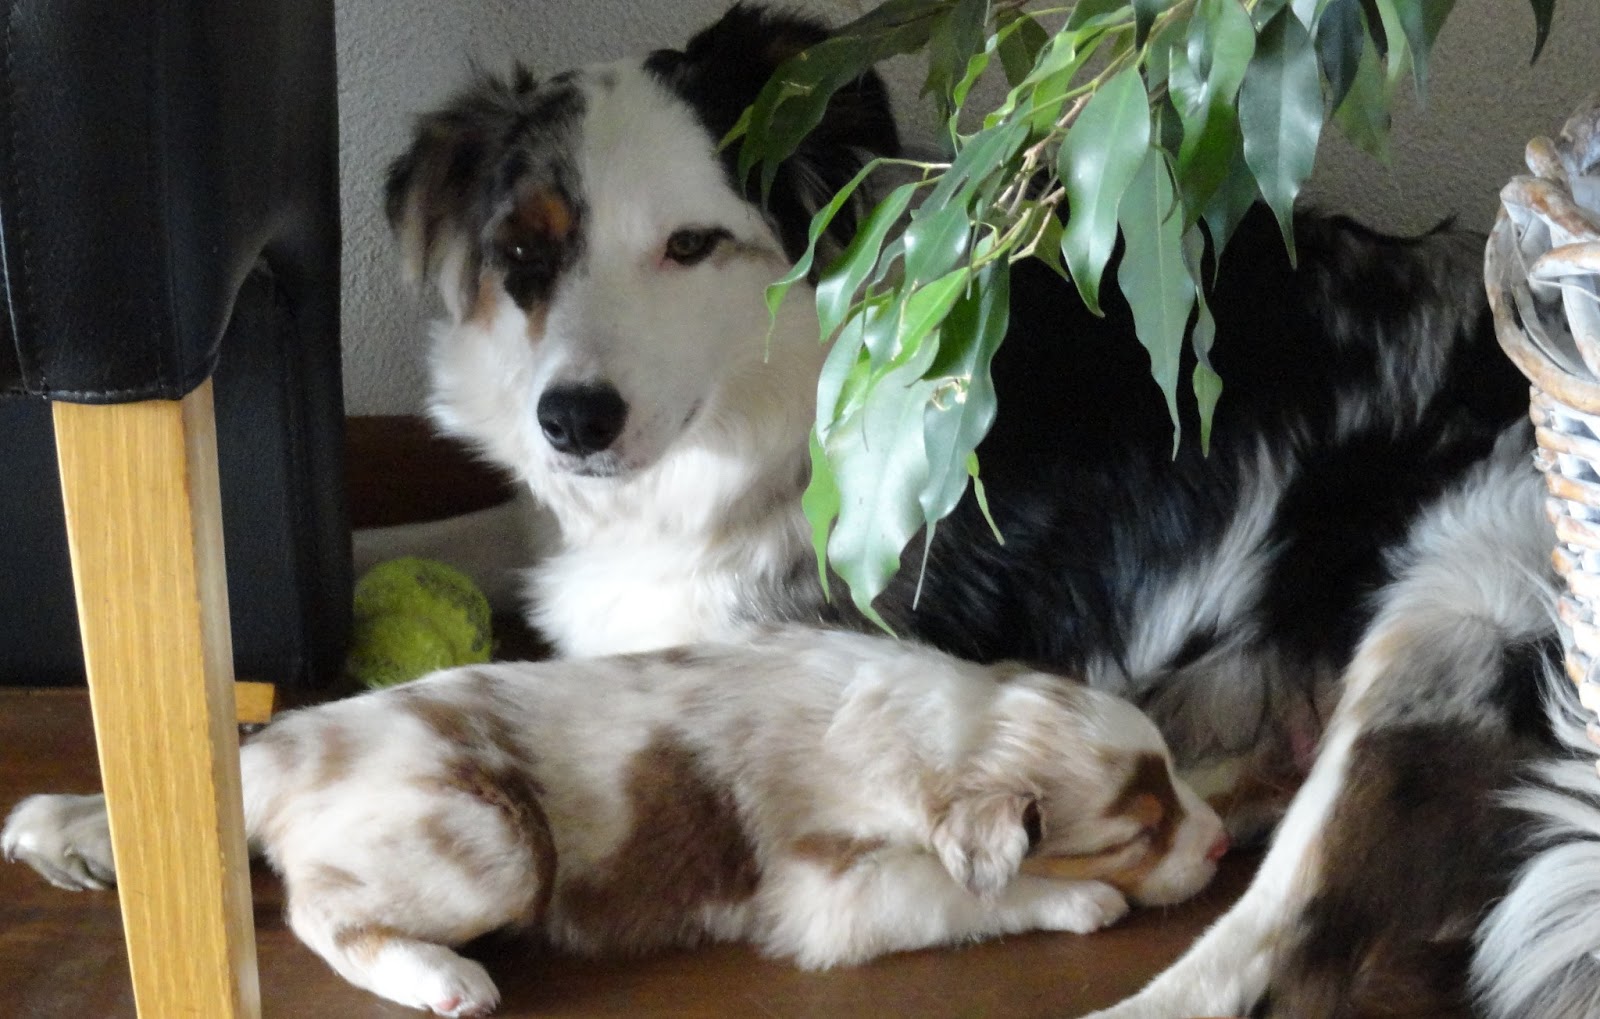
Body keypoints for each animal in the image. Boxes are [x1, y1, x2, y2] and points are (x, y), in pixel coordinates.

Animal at [3, 627, 1227, 1016]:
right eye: (1138, 824)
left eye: (1176, 772)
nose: (1221, 843)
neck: (949, 718)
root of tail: (286, 744)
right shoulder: (832, 890)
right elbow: (968, 888)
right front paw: (1081, 895)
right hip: (493, 845)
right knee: (316, 907)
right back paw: (442, 977)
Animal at [361, 4, 1600, 1015]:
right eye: (525, 252)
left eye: (691, 244)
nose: (573, 419)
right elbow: (485, 525)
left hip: (1450, 605)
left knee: (1280, 938)